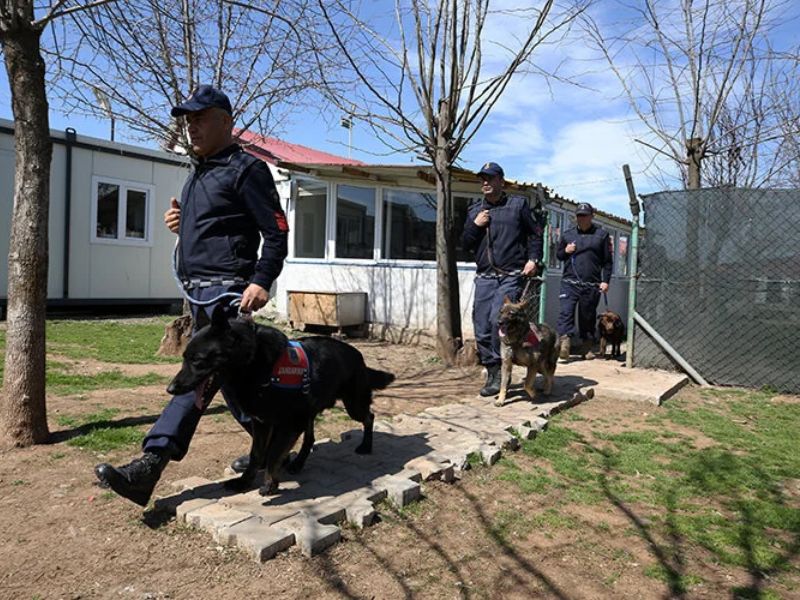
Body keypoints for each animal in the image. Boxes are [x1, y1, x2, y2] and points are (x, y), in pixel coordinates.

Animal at [167, 308, 396, 494]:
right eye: (184, 357)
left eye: (197, 360)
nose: (171, 389)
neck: (255, 364)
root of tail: (359, 356)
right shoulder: (262, 424)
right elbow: (257, 455)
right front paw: (244, 482)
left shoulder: (289, 423)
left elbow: (274, 454)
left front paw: (270, 484)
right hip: (310, 413)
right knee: (310, 438)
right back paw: (298, 463)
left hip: (352, 405)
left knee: (369, 416)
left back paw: (366, 446)